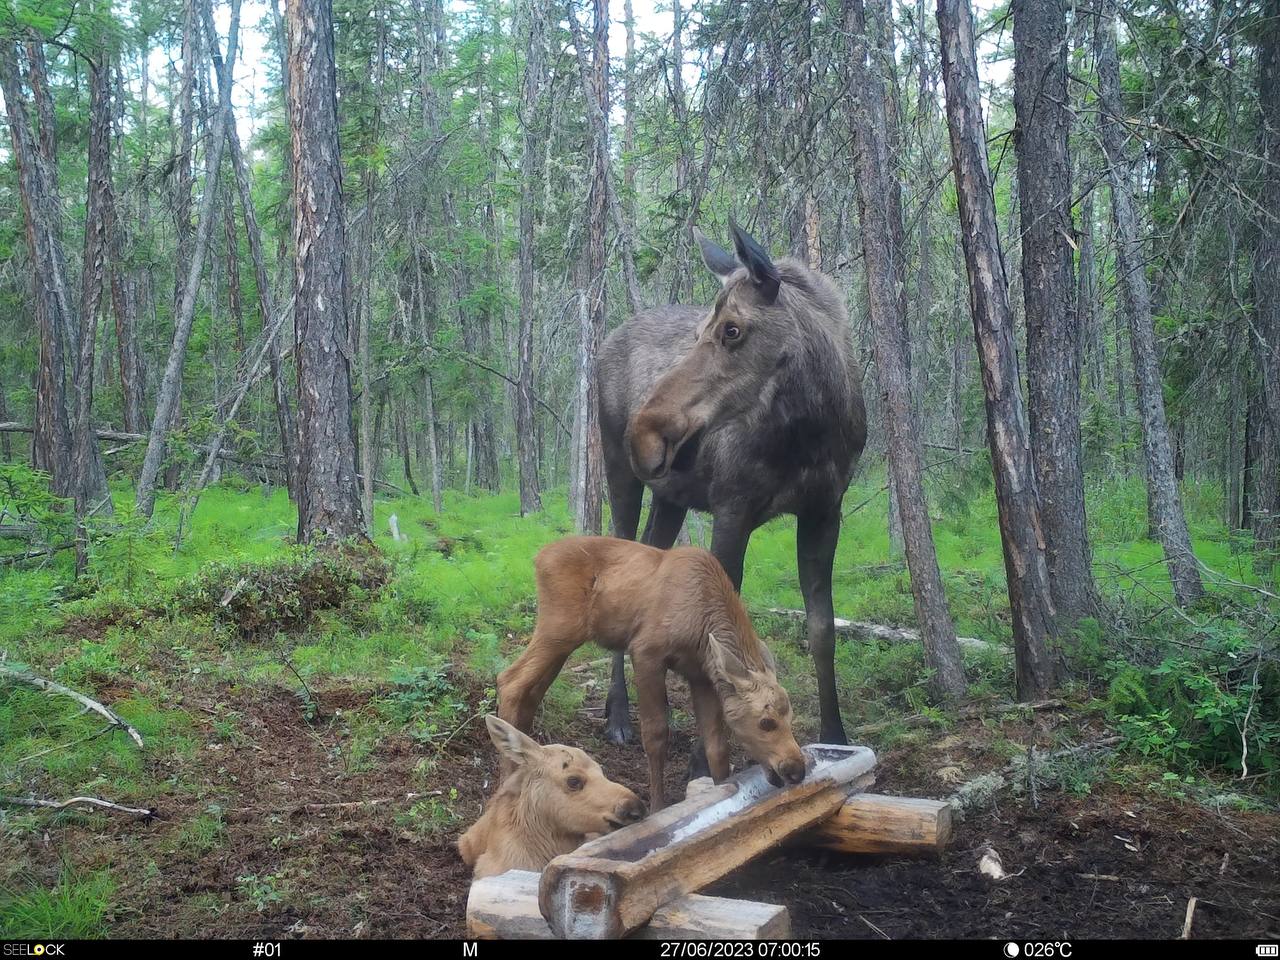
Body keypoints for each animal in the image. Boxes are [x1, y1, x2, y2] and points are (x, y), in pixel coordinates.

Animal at [496, 537, 803, 808]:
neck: (701, 628)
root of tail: (538, 558)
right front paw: (657, 807)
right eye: (766, 722)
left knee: (531, 691)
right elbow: (655, 735)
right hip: (559, 627)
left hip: (563, 641)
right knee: (510, 680)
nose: (796, 768)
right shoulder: (646, 652)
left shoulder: (701, 676)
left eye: (791, 717)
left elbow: (716, 746)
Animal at [593, 221, 865, 747]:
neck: (810, 432)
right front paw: (706, 755)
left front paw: (836, 736)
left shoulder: (825, 509)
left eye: (731, 329)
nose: (643, 433)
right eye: (700, 330)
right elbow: (720, 634)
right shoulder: (732, 507)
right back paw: (617, 715)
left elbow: (822, 628)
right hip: (620, 473)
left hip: (670, 496)